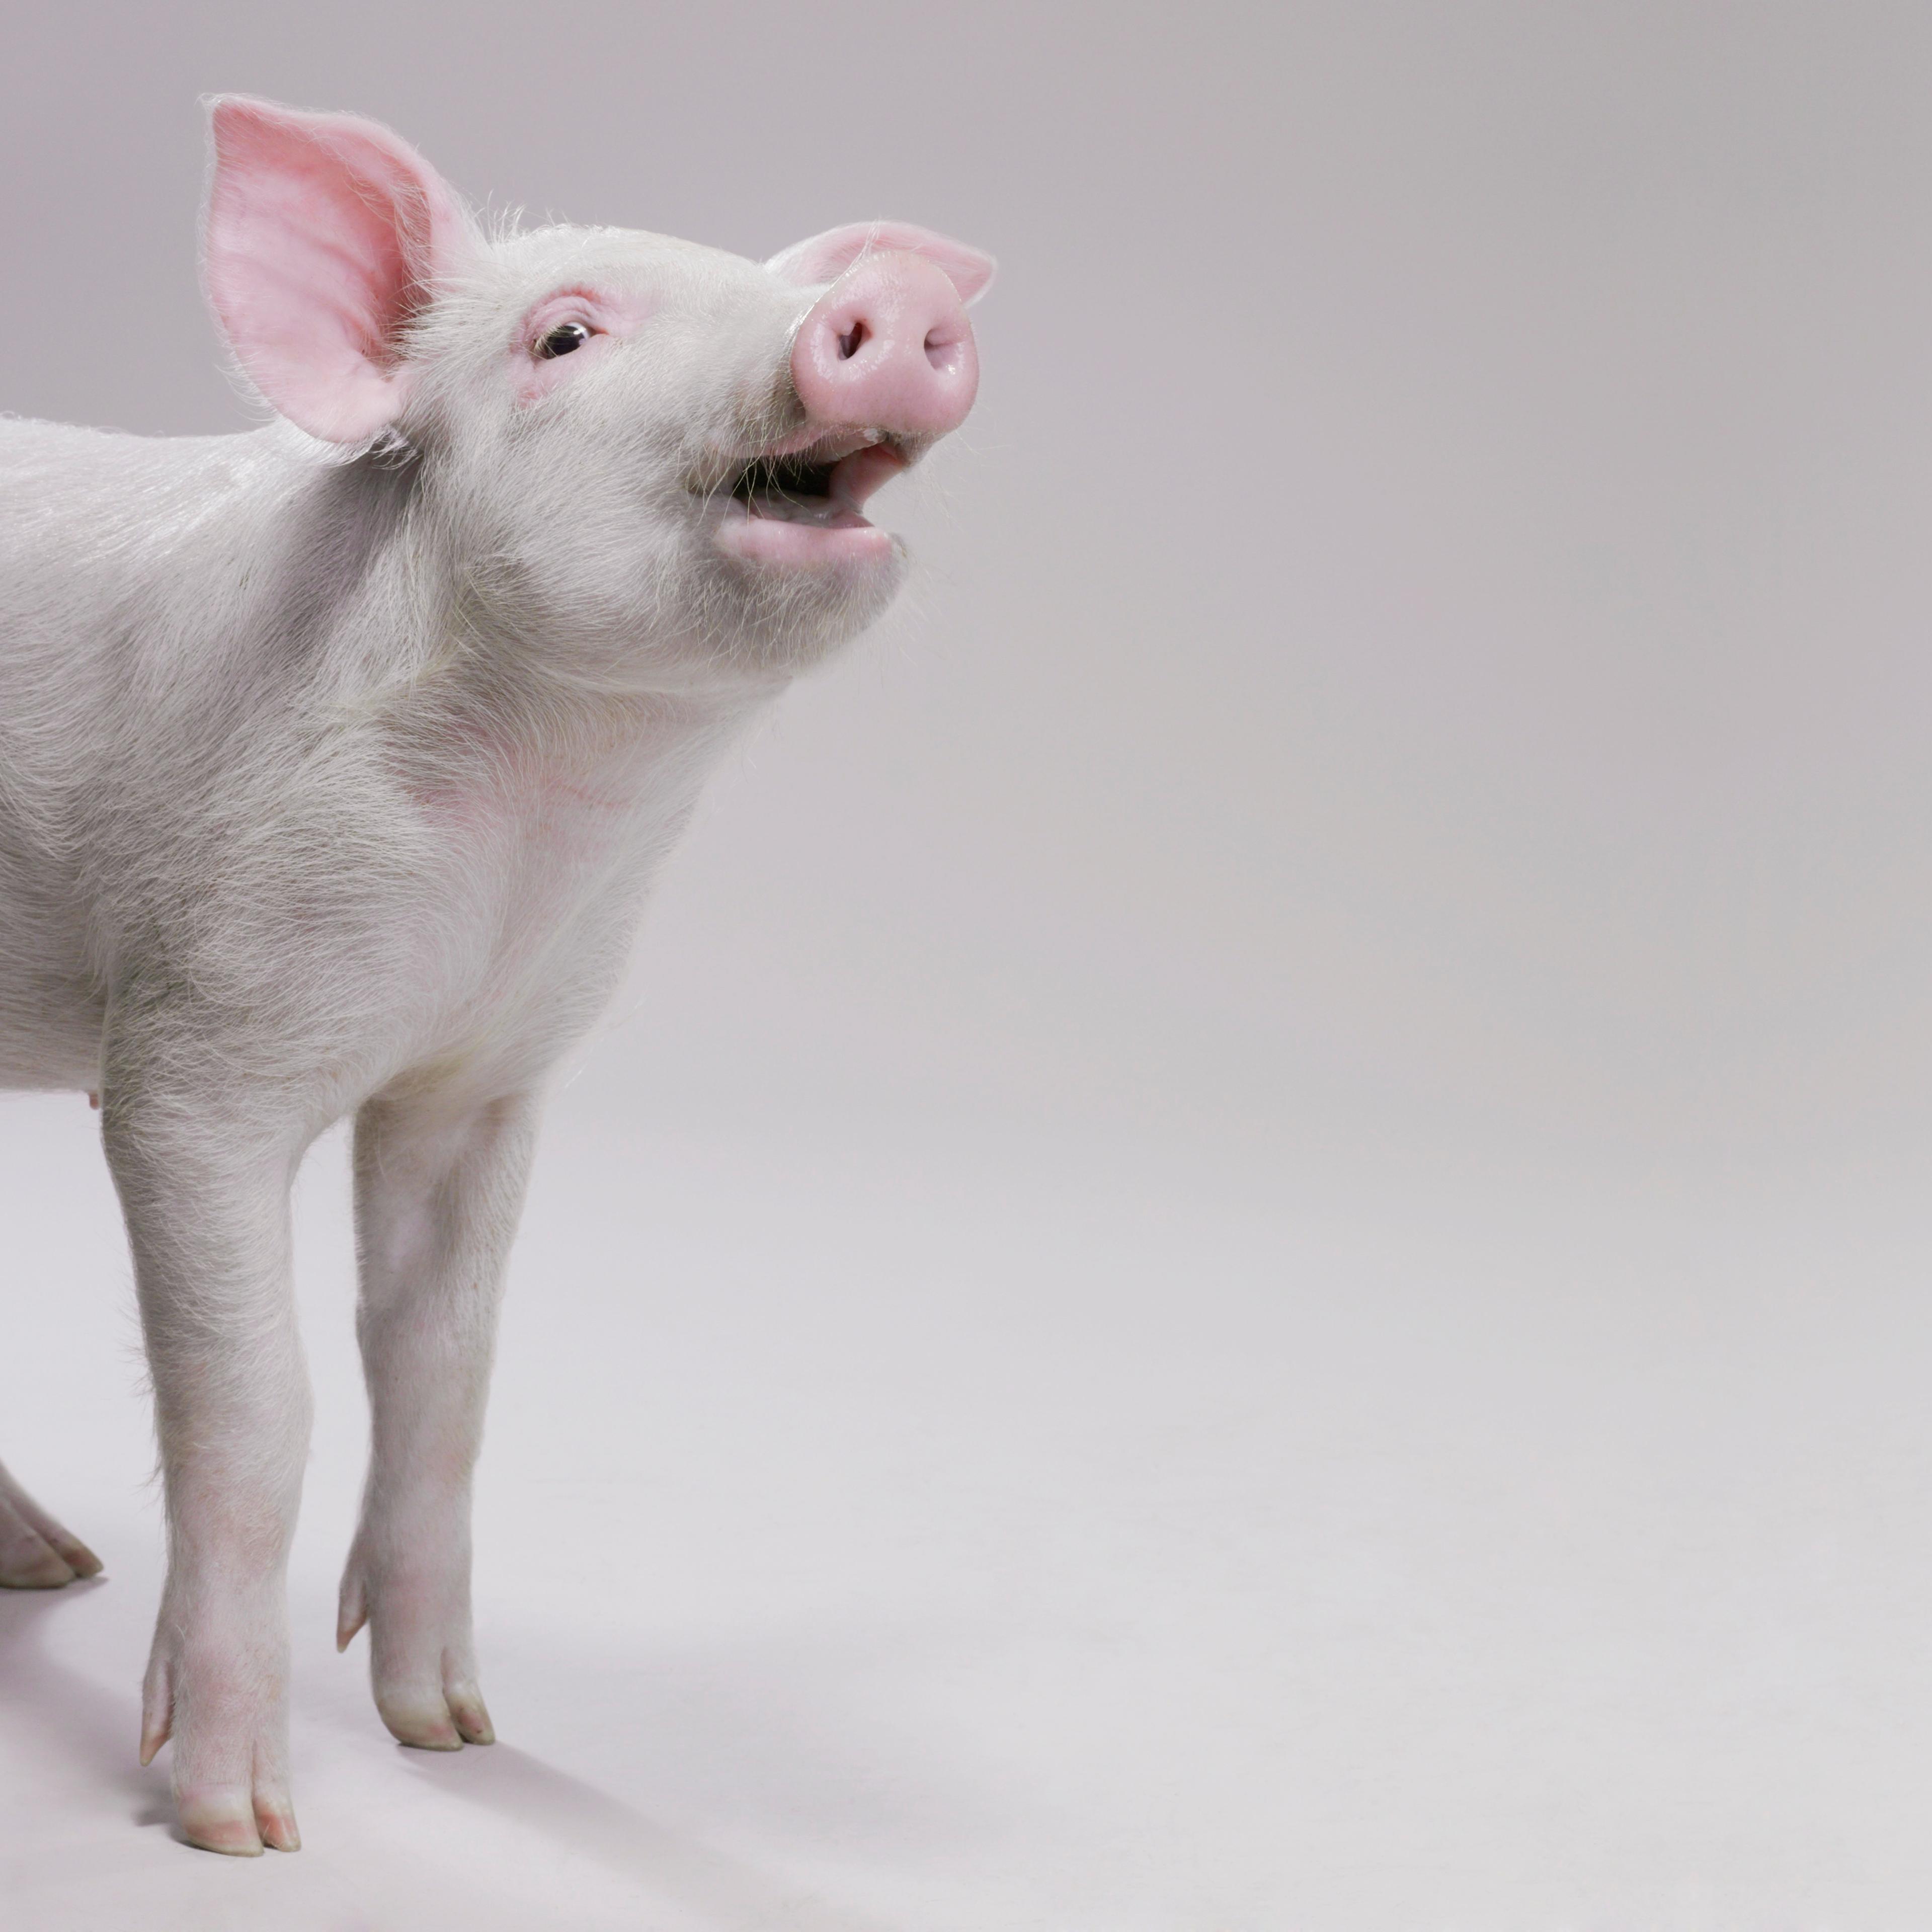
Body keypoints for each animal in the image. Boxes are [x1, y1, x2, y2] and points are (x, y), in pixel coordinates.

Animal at [0, 96, 992, 1856]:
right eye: (564, 337)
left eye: (770, 288)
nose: (892, 298)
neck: (531, 831)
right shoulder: (189, 1060)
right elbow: (255, 1409)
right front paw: (241, 1825)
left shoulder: (488, 1075)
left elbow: (444, 1377)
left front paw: (453, 1734)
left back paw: (54, 1568)